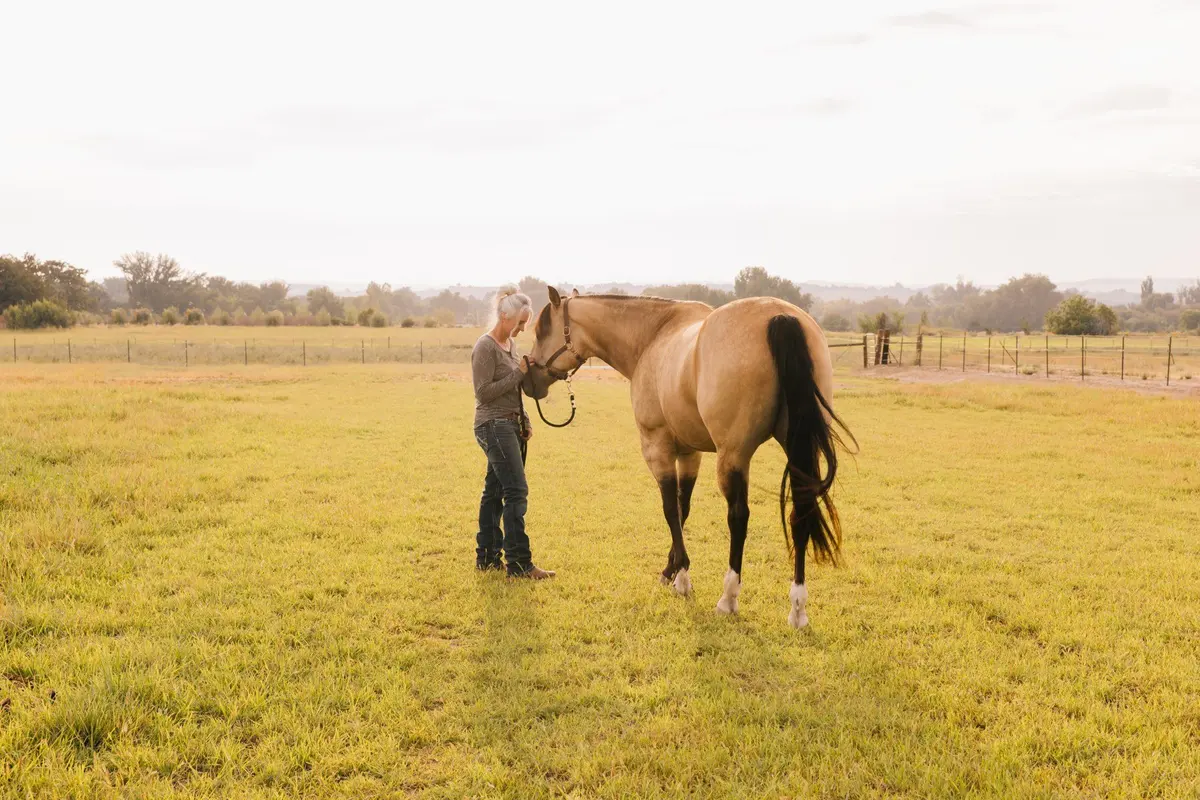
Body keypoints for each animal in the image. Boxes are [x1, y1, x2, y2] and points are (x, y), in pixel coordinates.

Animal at [522, 287, 854, 628]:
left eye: (541, 331)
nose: (528, 380)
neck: (652, 337)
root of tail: (780, 317)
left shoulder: (658, 448)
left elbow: (670, 509)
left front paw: (681, 578)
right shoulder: (690, 453)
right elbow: (684, 508)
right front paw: (671, 570)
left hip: (733, 455)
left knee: (738, 517)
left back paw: (728, 598)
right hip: (797, 448)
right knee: (800, 512)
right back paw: (797, 608)